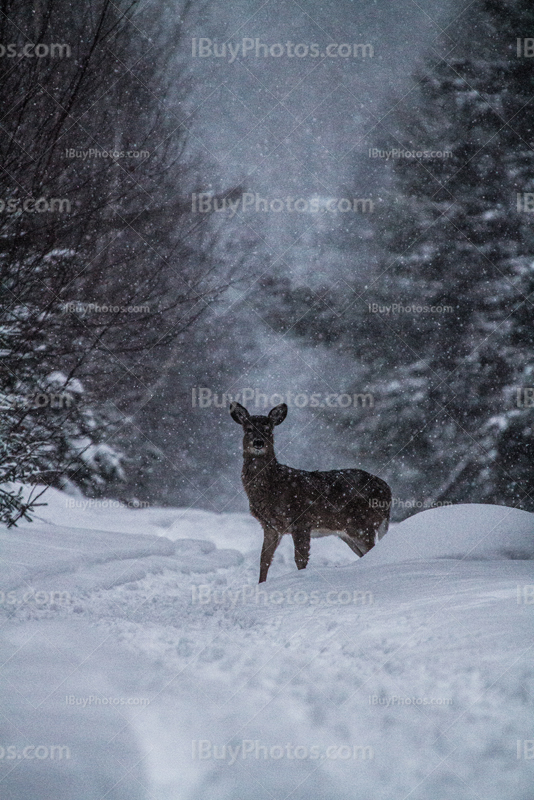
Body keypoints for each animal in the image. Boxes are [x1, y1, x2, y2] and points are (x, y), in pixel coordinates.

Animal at [231, 400, 394, 580]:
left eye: (268, 429)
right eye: (248, 429)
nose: (258, 443)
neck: (273, 486)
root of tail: (388, 490)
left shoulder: (301, 520)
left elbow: (300, 559)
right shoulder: (270, 526)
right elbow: (264, 559)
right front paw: (261, 584)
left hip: (362, 524)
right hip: (348, 532)